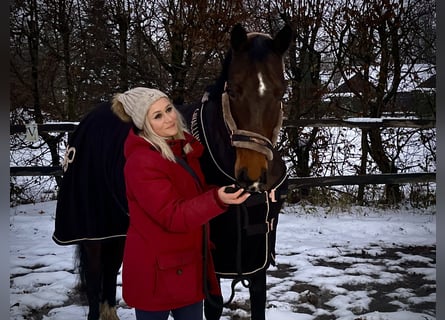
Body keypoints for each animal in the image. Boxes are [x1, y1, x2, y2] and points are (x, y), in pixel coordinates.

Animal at [51, 23, 292, 320]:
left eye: (280, 93)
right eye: (234, 91)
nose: (252, 176)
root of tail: (86, 122)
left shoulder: (256, 260)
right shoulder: (210, 263)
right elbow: (214, 305)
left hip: (117, 227)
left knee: (111, 268)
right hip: (90, 231)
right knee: (95, 280)